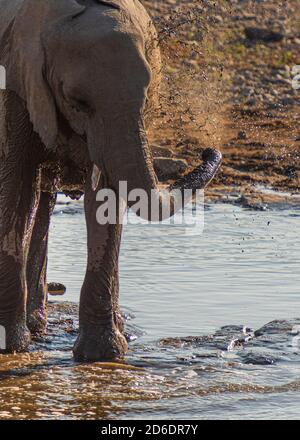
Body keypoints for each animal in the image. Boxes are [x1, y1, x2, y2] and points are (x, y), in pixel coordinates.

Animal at [0, 0, 220, 360]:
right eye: (77, 101)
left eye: (147, 97)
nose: (206, 150)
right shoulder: (15, 84)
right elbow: (17, 185)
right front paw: (12, 347)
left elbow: (105, 197)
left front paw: (103, 354)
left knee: (45, 200)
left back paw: (39, 323)